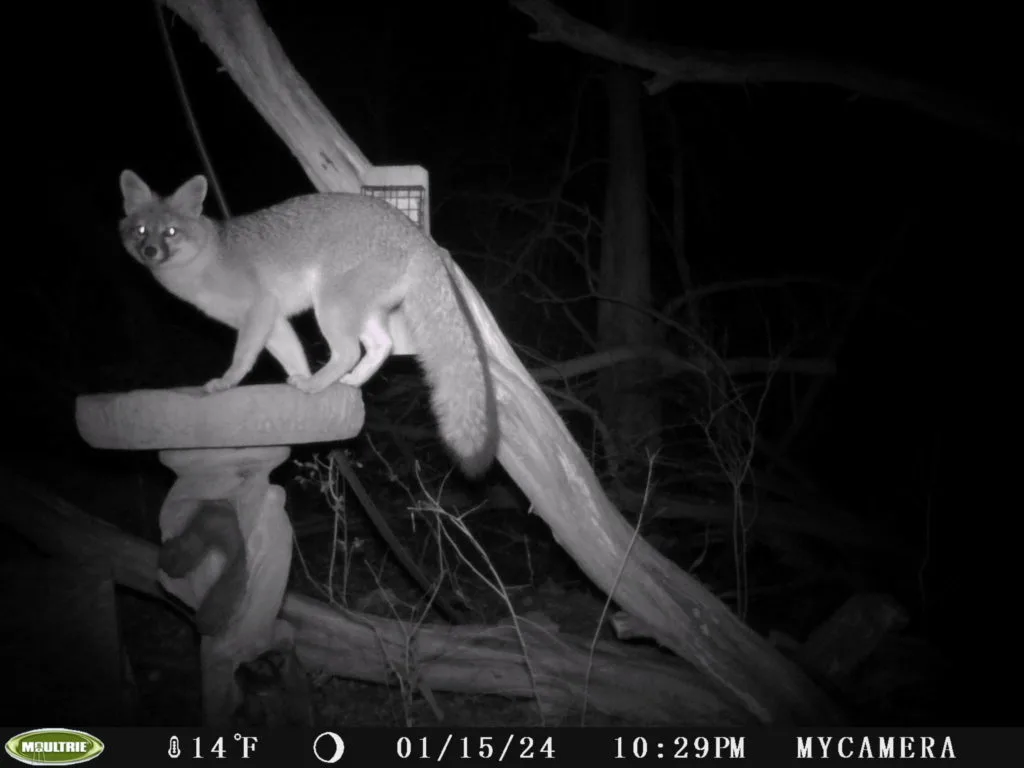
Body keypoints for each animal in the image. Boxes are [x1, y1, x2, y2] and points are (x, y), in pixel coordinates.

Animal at [117, 171, 497, 479]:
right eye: (140, 231)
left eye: (170, 232)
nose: (150, 252)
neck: (208, 260)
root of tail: (419, 236)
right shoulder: (273, 321)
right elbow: (292, 355)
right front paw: (301, 399)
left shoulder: (260, 310)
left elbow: (243, 359)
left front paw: (226, 383)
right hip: (356, 313)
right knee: (381, 345)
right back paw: (347, 381)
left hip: (328, 307)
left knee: (348, 351)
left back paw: (318, 384)